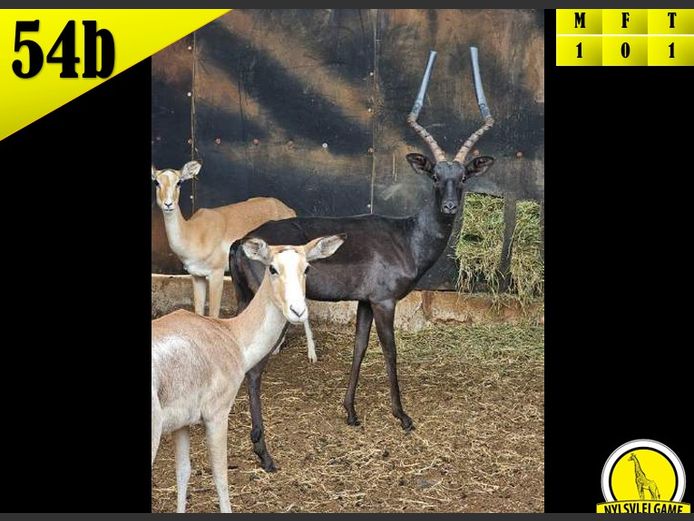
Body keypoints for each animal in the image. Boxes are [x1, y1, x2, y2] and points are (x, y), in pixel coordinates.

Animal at [151, 161, 320, 362]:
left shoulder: (215, 274)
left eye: (179, 182)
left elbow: (213, 313)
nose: (168, 204)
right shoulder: (196, 276)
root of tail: (288, 210)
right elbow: (198, 312)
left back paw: (311, 355)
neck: (194, 233)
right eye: (156, 182)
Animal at [152, 234, 345, 513]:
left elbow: (183, 473)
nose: (298, 311)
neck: (231, 335)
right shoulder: (217, 414)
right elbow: (220, 476)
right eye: (272, 268)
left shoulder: (182, 424)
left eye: (307, 268)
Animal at [229, 49, 496, 472]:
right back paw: (264, 454)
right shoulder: (385, 301)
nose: (451, 207)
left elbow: (359, 349)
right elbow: (390, 352)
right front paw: (403, 417)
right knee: (254, 369)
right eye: (435, 176)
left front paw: (351, 413)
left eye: (464, 177)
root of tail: (241, 242)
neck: (407, 237)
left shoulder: (365, 302)